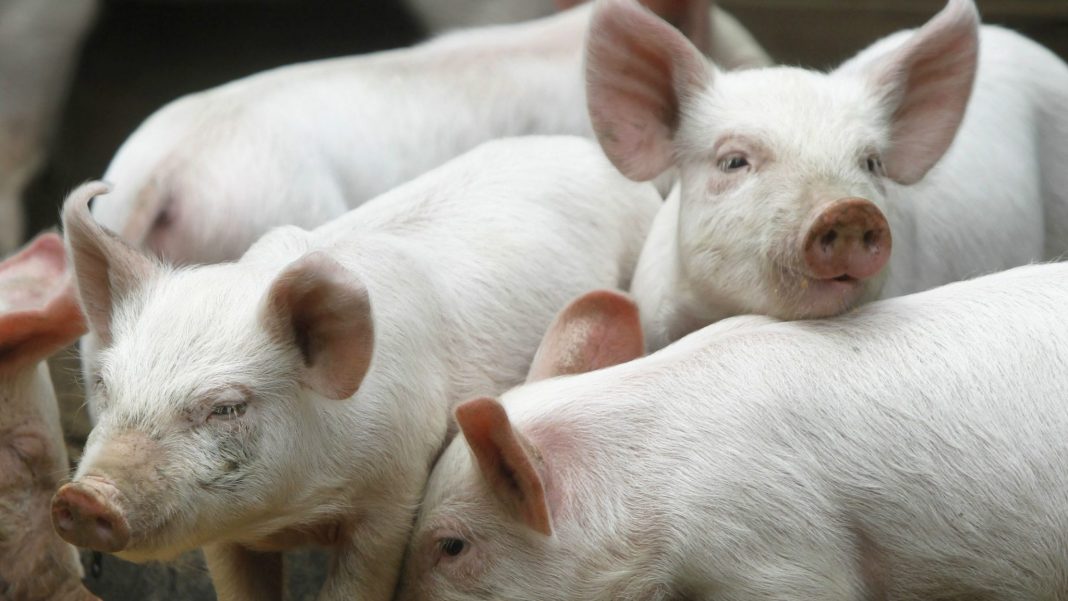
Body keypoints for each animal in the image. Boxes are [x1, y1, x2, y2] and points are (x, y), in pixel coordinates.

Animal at [52, 136, 661, 601]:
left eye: (226, 407)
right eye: (105, 386)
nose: (83, 498)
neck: (293, 513)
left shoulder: (396, 494)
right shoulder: (224, 530)